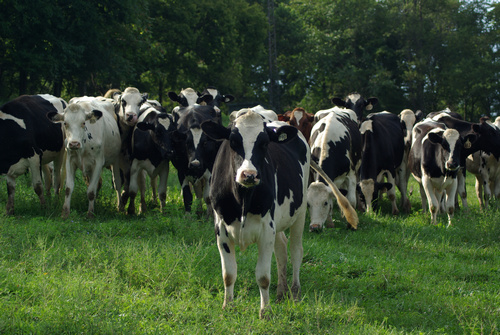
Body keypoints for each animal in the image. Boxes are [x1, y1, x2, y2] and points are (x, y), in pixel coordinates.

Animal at [201, 109, 358, 320]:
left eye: (264, 143)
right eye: (233, 142)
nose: (249, 175)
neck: (243, 198)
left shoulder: (266, 231)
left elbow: (263, 276)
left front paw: (265, 311)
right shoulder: (222, 231)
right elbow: (228, 274)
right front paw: (228, 306)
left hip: (299, 214)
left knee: (295, 251)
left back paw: (294, 292)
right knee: (282, 250)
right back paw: (281, 292)